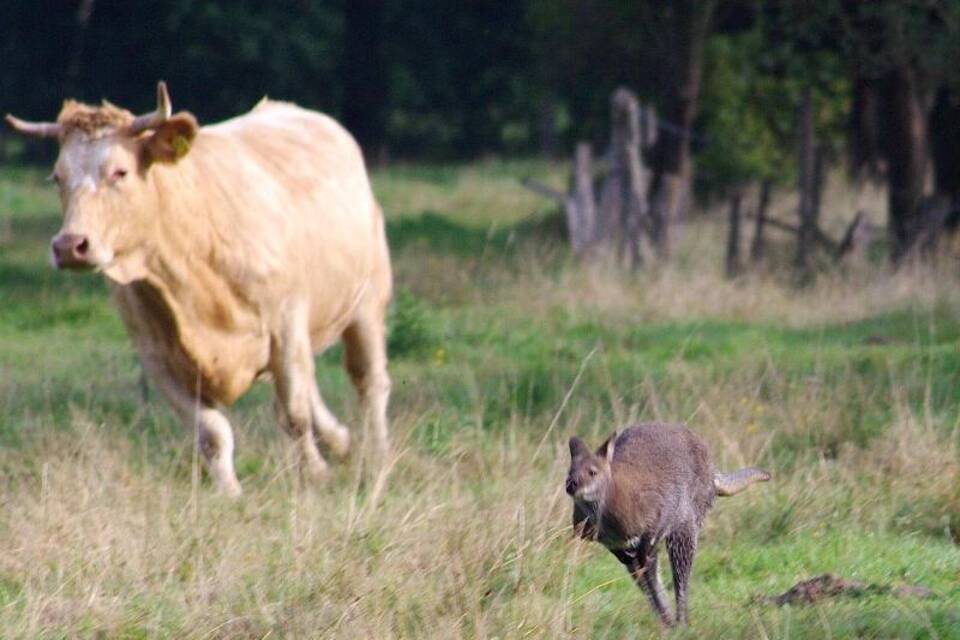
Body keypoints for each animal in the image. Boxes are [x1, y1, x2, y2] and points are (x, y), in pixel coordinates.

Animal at [7, 82, 390, 498]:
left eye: (120, 171)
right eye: (57, 177)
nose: (69, 245)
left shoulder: (285, 323)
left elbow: (294, 412)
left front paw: (315, 475)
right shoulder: (158, 356)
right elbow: (212, 433)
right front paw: (230, 493)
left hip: (367, 302)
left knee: (369, 382)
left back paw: (376, 459)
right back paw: (340, 441)